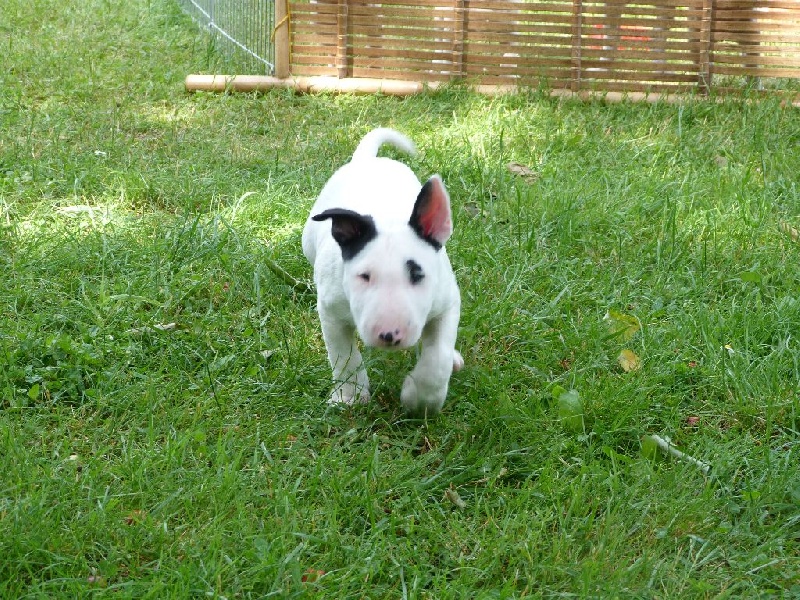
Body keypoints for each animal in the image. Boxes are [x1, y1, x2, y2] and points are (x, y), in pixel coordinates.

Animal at [302, 128, 463, 415]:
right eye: (364, 276)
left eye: (418, 275)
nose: (389, 335)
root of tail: (367, 160)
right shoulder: (331, 311)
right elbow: (343, 354)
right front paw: (351, 395)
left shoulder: (447, 303)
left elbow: (438, 357)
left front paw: (420, 399)